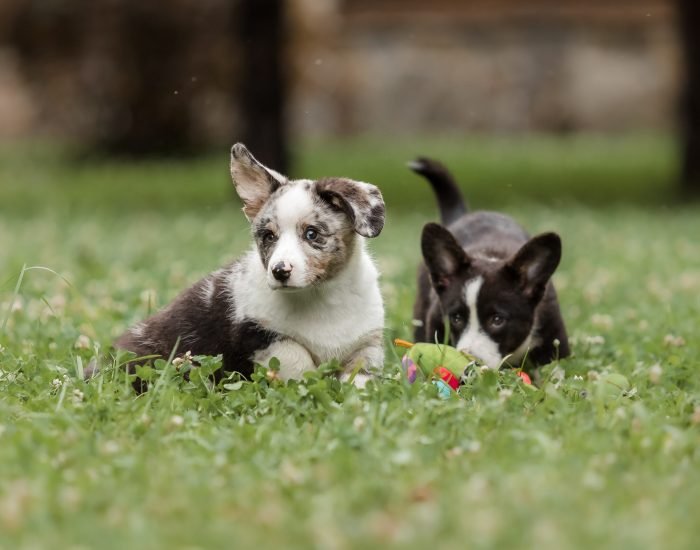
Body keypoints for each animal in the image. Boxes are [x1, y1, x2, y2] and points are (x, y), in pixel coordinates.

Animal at [117, 144, 386, 390]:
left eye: (312, 234)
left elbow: (360, 376)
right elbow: (298, 359)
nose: (279, 271)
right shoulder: (258, 334)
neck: (321, 296)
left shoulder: (367, 343)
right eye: (268, 236)